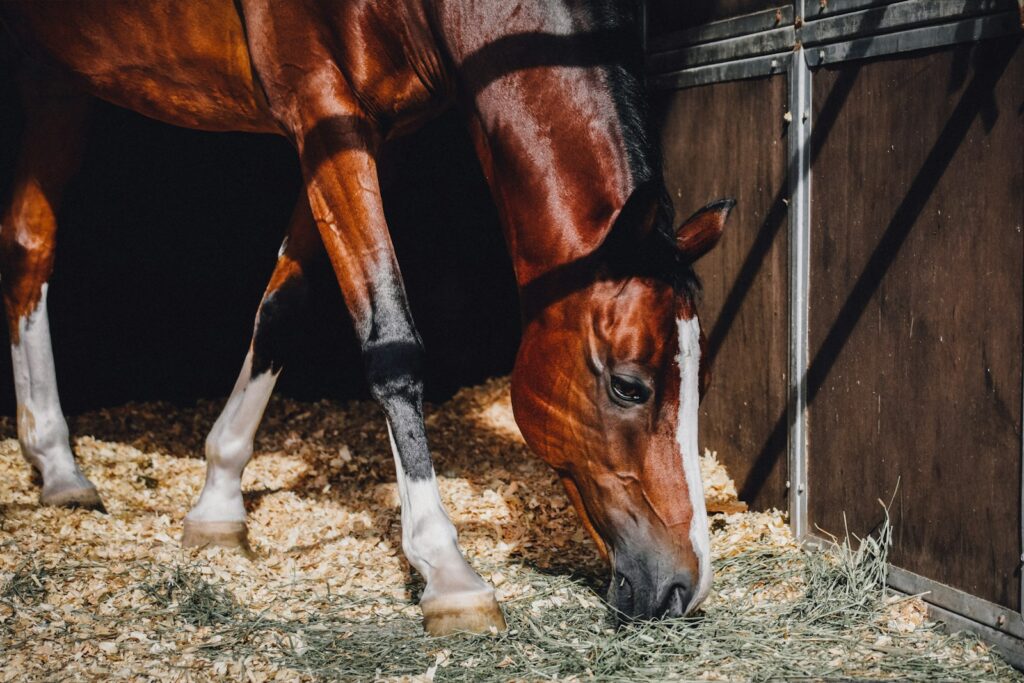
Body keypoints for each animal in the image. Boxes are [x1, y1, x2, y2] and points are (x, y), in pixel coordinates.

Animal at [0, 0, 733, 635]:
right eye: (629, 385)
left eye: (701, 382)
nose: (684, 586)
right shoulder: (324, 109)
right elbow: (392, 341)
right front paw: (447, 571)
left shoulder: (350, 132)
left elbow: (282, 310)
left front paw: (218, 501)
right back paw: (56, 458)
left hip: (51, 76)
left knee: (28, 246)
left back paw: (56, 465)